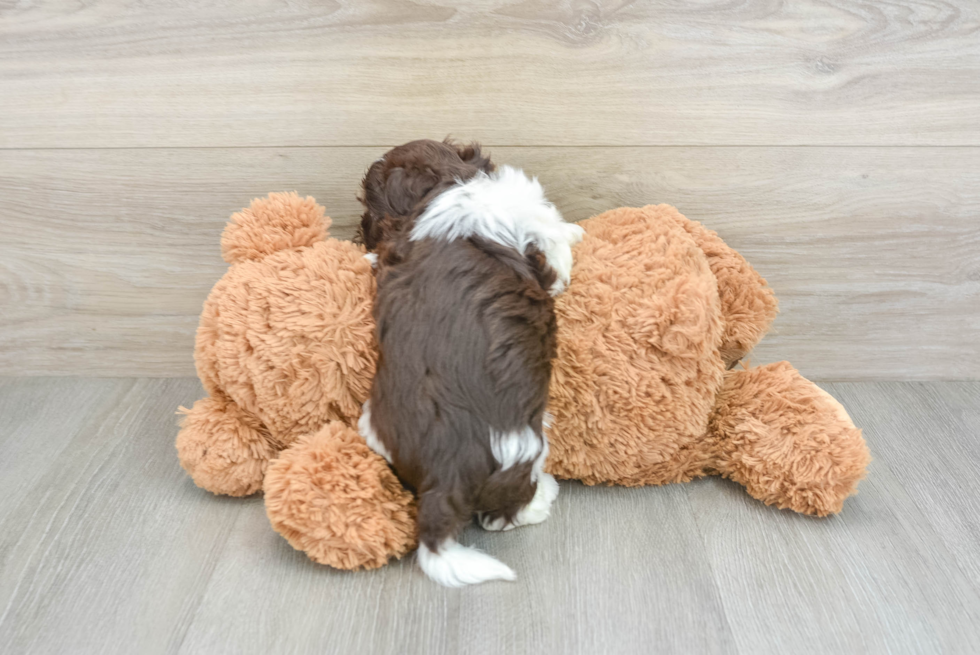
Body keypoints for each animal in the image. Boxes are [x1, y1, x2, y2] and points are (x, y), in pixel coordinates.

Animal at [356, 138, 580, 588]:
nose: (359, 233)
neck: (440, 189)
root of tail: (446, 473)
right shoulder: (536, 226)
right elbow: (558, 244)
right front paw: (574, 235)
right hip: (525, 448)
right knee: (506, 513)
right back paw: (542, 497)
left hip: (376, 424)